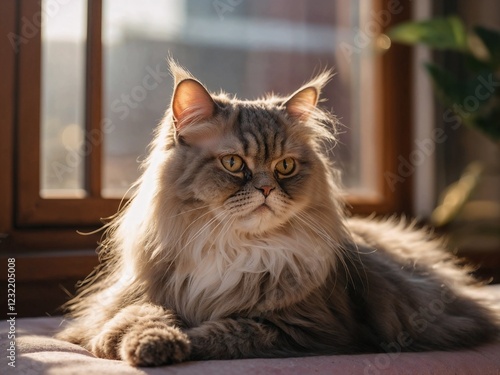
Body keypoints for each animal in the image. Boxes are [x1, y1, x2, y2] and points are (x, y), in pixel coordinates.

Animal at [56, 61, 498, 368]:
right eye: (234, 164)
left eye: (285, 167)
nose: (267, 189)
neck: (234, 248)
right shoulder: (124, 300)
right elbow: (131, 318)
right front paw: (145, 343)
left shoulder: (305, 329)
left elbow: (222, 332)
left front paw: (173, 343)